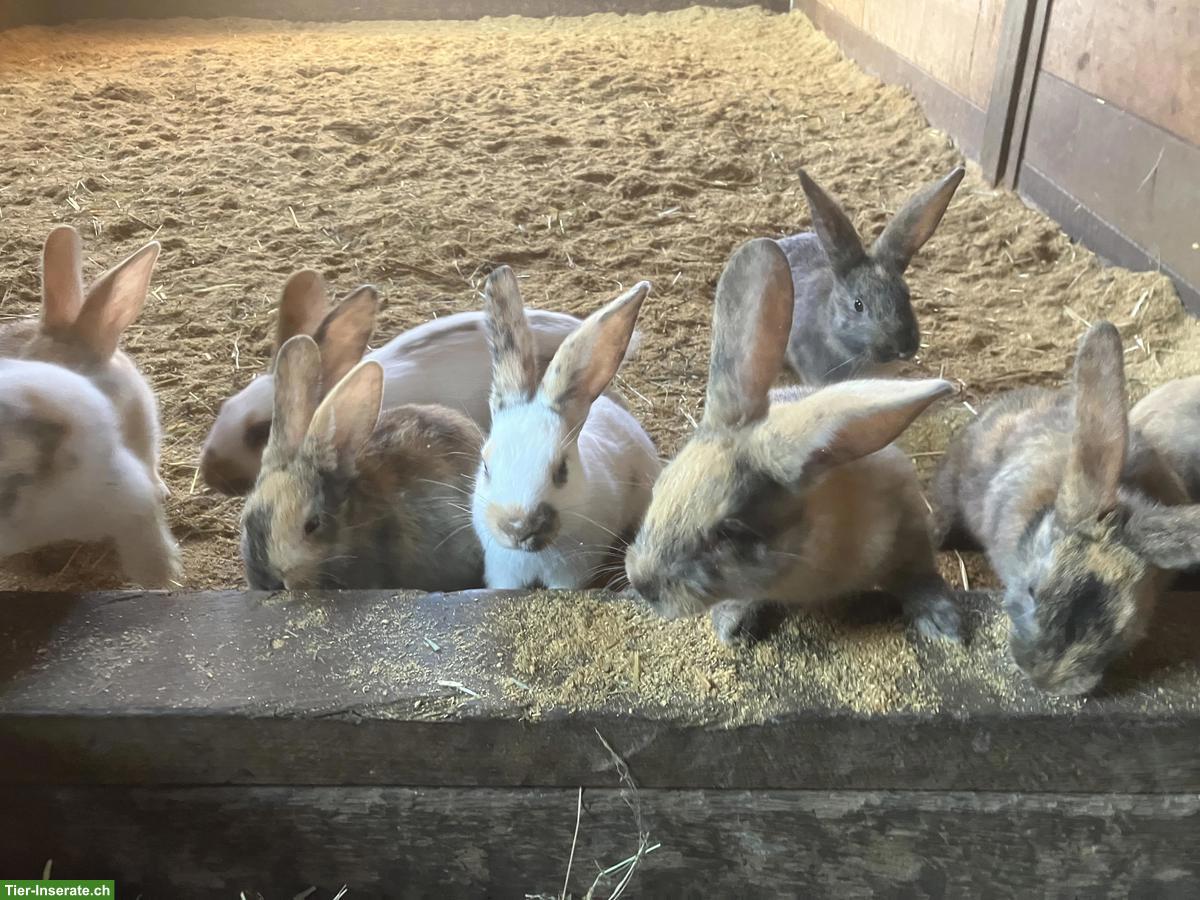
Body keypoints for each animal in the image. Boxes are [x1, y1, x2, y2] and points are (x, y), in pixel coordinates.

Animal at [624, 238, 961, 645]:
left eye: (729, 531)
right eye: (659, 488)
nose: (641, 583)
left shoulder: (906, 528)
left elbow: (918, 576)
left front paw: (943, 624)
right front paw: (733, 625)